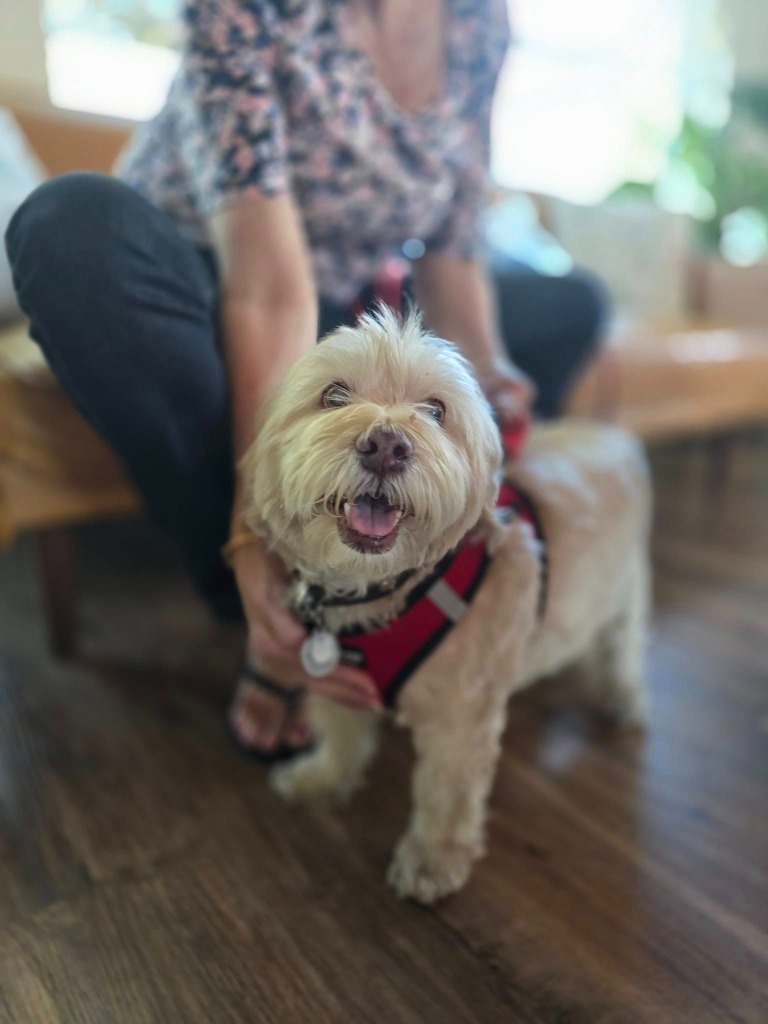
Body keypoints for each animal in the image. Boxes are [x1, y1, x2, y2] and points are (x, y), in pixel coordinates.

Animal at [243, 309, 651, 905]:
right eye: (333, 395)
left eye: (435, 410)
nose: (386, 445)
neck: (385, 589)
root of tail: (609, 431)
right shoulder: (336, 675)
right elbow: (340, 732)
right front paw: (321, 777)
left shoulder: (462, 719)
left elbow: (447, 794)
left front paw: (432, 860)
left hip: (625, 590)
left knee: (624, 646)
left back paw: (623, 697)